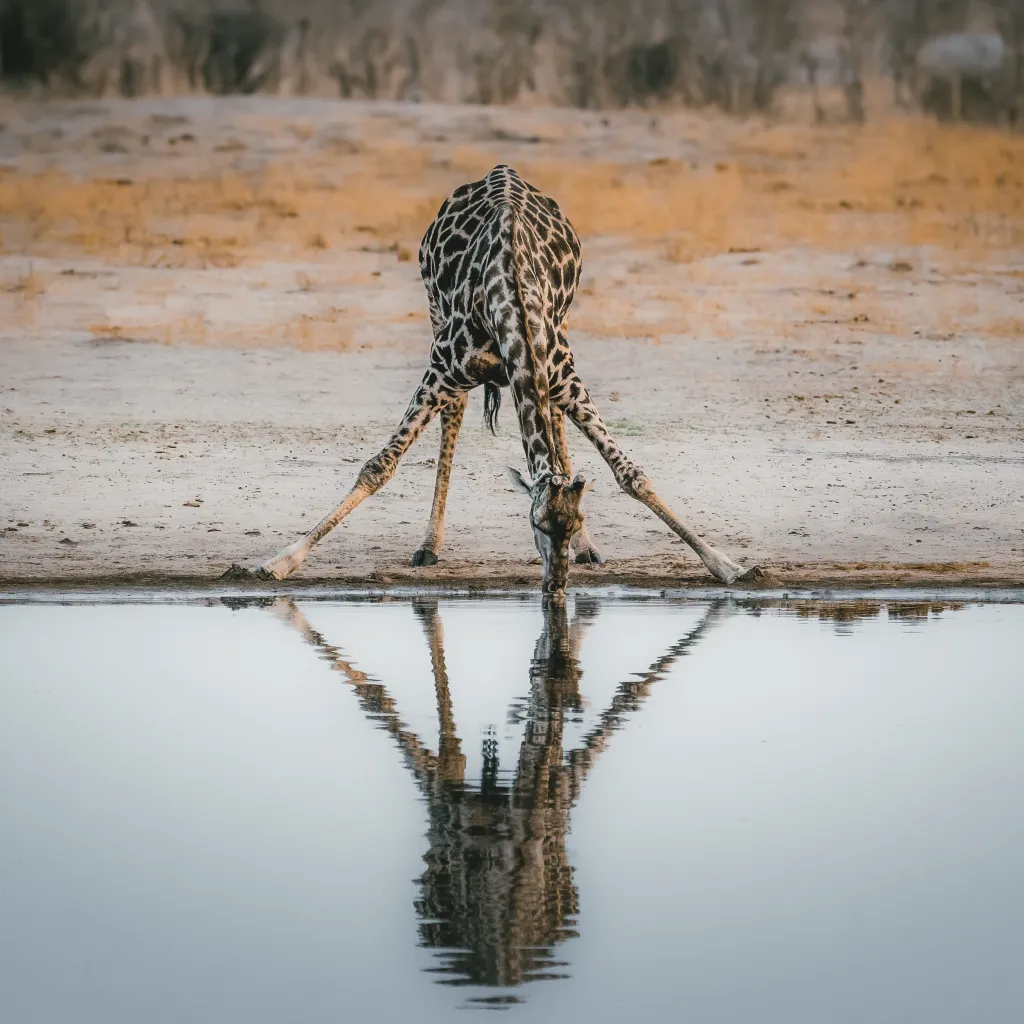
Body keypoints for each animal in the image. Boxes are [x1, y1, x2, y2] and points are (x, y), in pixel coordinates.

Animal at [224, 165, 761, 597]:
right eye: (536, 524)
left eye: (574, 522)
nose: (555, 588)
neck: (510, 296)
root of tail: (500, 170)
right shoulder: (442, 367)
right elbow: (380, 466)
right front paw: (278, 562)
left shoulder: (562, 371)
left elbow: (629, 473)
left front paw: (729, 566)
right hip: (435, 317)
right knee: (454, 417)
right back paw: (430, 544)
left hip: (561, 337)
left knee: (555, 423)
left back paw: (588, 550)